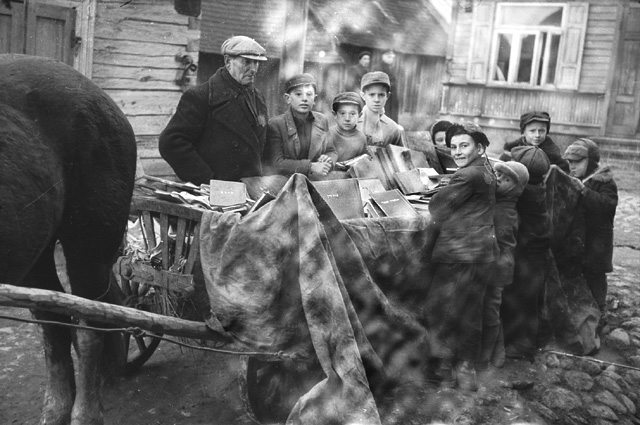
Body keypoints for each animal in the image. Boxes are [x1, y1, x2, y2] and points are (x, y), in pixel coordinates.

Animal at [0, 54, 136, 422]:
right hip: (37, 248)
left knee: (90, 325)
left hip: (89, 243)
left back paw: (85, 413)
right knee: (55, 322)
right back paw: (56, 410)